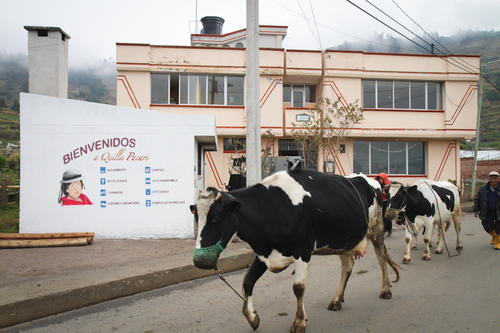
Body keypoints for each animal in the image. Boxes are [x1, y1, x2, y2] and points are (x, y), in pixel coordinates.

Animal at [190, 169, 398, 332]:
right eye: (196, 217)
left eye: (215, 217)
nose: (199, 260)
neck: (272, 207)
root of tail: (366, 178)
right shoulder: (265, 253)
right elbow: (247, 282)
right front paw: (253, 318)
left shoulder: (303, 251)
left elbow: (298, 288)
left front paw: (299, 322)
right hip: (344, 239)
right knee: (347, 267)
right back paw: (337, 300)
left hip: (376, 228)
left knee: (382, 257)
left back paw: (386, 289)